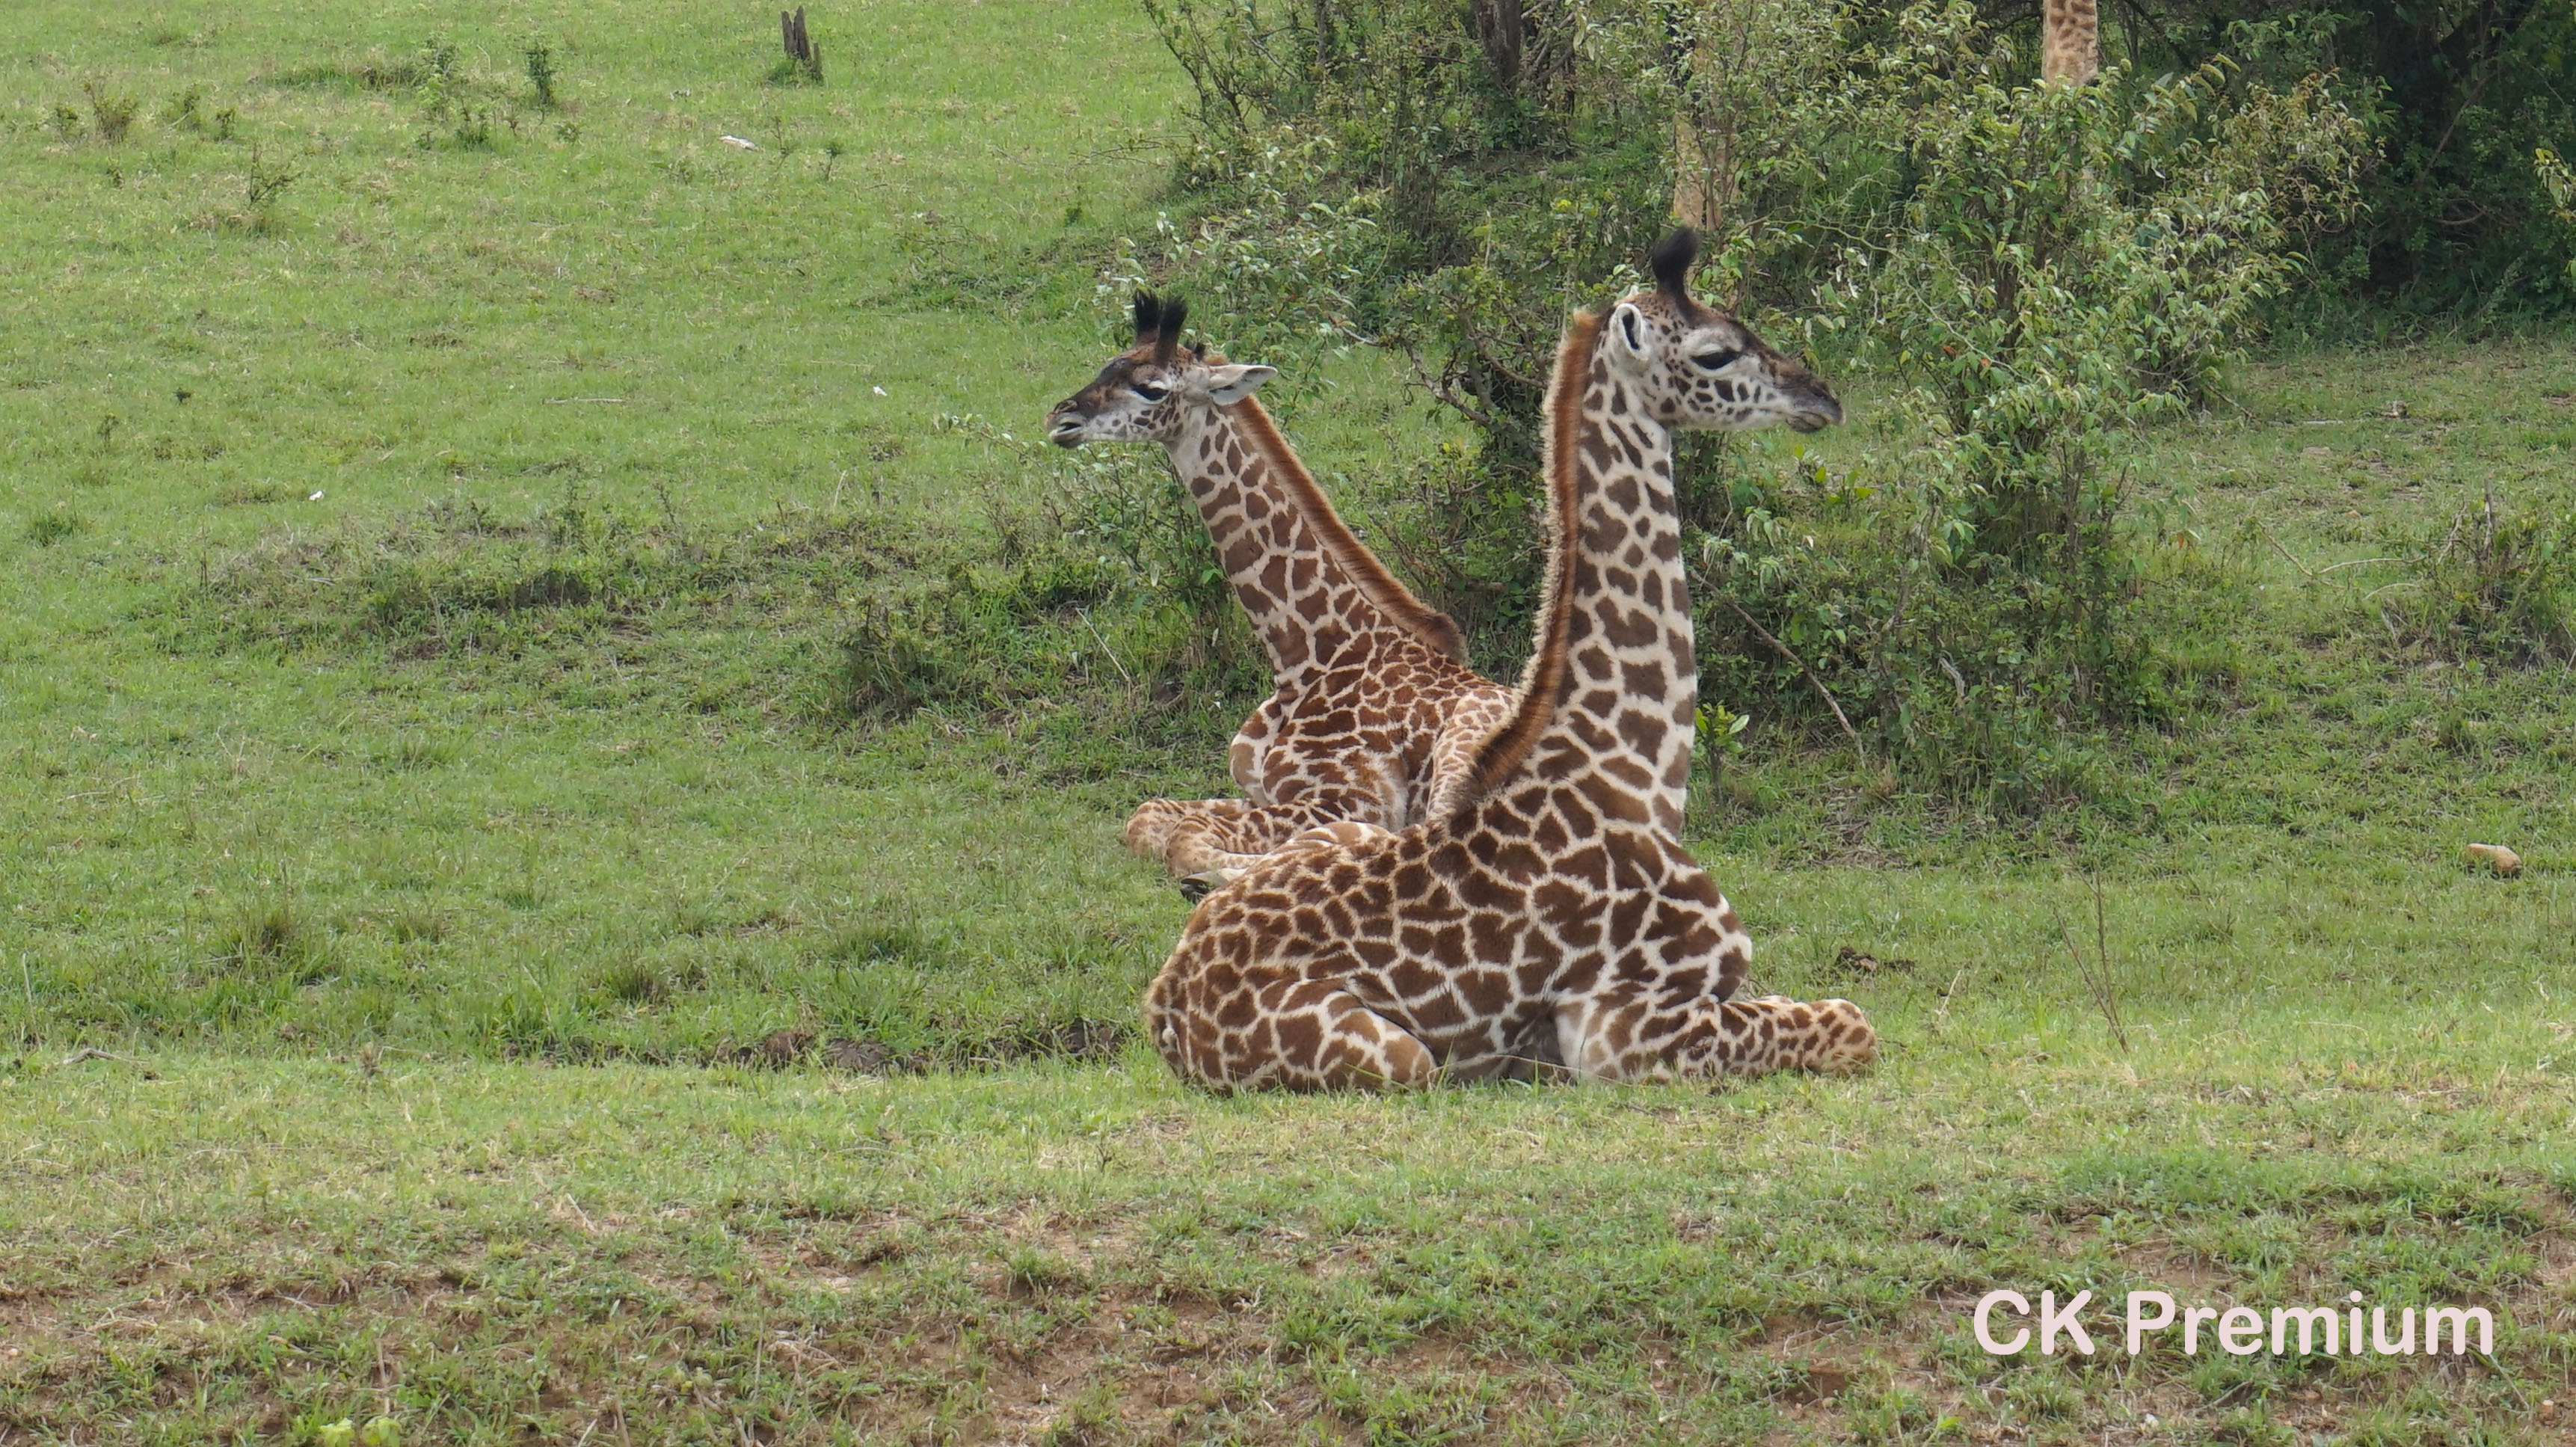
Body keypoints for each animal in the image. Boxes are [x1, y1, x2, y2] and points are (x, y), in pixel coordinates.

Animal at [1045, 293, 1514, 885]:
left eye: (1151, 388)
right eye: (1108, 365)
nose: (1060, 419)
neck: (1304, 658)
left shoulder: (1342, 798)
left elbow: (1185, 840)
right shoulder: (1256, 792)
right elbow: (1149, 817)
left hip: (1463, 746)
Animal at [1143, 227, 1875, 1081]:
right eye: (1717, 352)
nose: (1820, 395)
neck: (1637, 773)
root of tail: (1164, 1009)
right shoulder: (1622, 1029)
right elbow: (1854, 1024)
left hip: (1347, 835)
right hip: (1401, 1056)